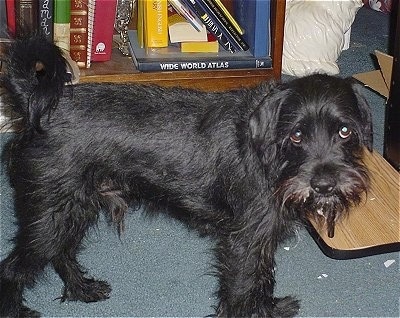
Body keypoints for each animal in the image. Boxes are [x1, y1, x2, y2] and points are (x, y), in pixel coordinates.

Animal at [1, 36, 374, 316]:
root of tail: (37, 106)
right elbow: (241, 291)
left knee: (62, 254)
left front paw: (269, 310)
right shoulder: (242, 244)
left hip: (74, 210)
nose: (324, 184)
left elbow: (262, 279)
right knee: (13, 269)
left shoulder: (262, 240)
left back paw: (82, 290)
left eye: (344, 131)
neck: (271, 155)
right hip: (50, 218)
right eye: (296, 135)